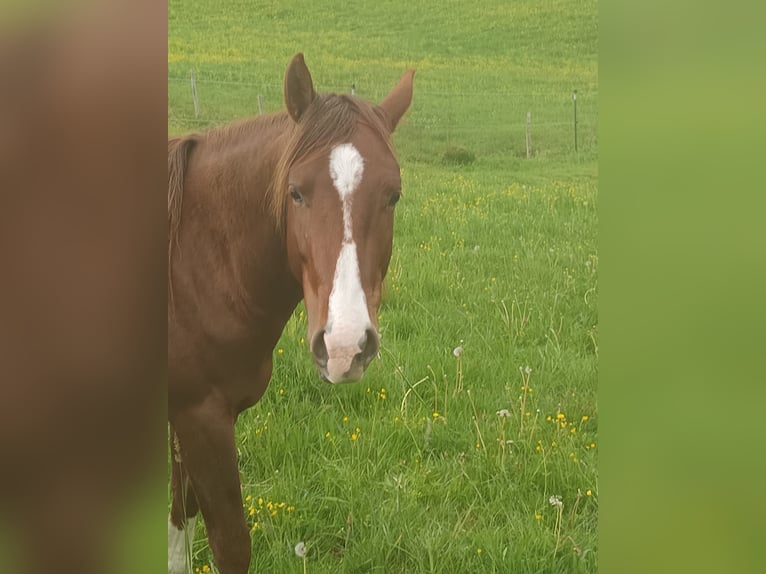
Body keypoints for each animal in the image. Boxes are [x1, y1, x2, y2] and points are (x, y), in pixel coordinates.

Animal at [167, 53, 414, 574]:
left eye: (393, 195)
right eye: (296, 192)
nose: (344, 346)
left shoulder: (183, 416)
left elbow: (181, 522)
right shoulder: (202, 419)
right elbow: (230, 544)